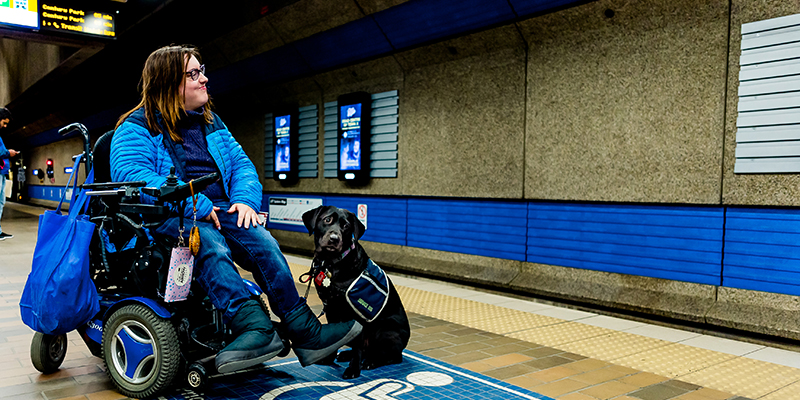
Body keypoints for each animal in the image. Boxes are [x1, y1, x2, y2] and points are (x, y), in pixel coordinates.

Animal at [302, 206, 410, 378]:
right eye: (327, 220)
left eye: (346, 226)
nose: (334, 238)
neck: (331, 263)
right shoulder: (331, 309)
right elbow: (334, 338)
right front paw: (329, 358)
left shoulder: (359, 315)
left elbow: (358, 346)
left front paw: (353, 369)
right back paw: (347, 355)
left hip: (385, 328)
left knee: (392, 356)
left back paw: (372, 361)